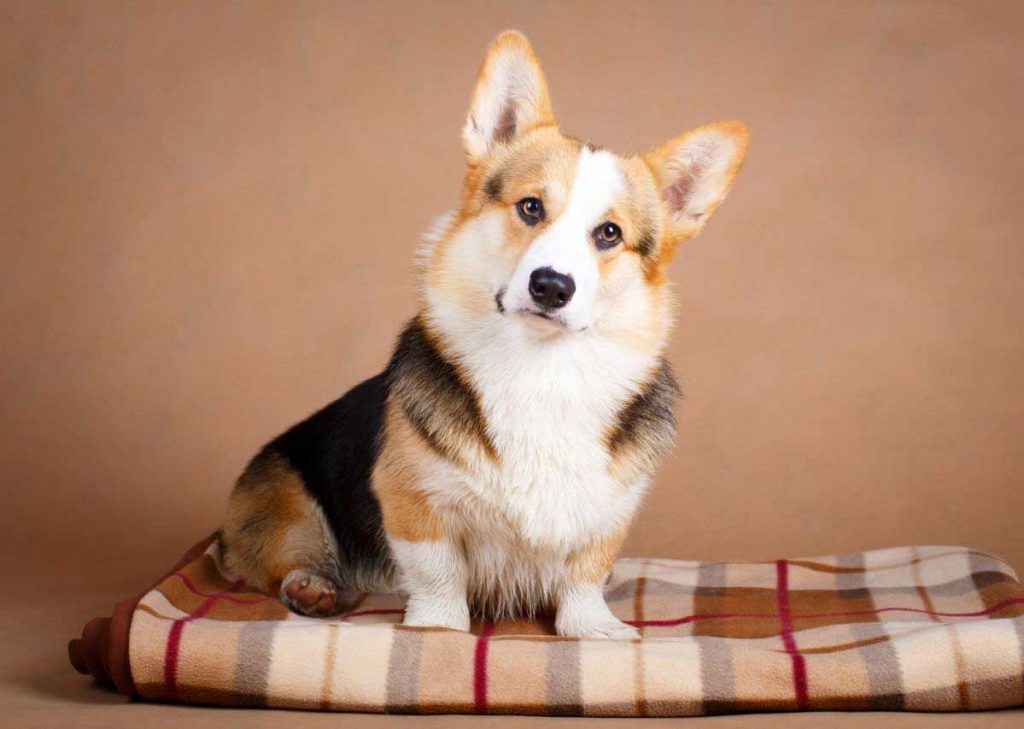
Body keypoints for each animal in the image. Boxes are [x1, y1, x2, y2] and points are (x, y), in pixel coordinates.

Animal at [217, 30, 747, 639]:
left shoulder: (607, 512)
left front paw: (594, 628)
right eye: (531, 206)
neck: (541, 368)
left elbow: (586, 572)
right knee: (280, 559)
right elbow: (437, 574)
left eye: (610, 233)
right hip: (285, 498)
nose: (551, 286)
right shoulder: (414, 502)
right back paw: (310, 586)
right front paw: (438, 628)